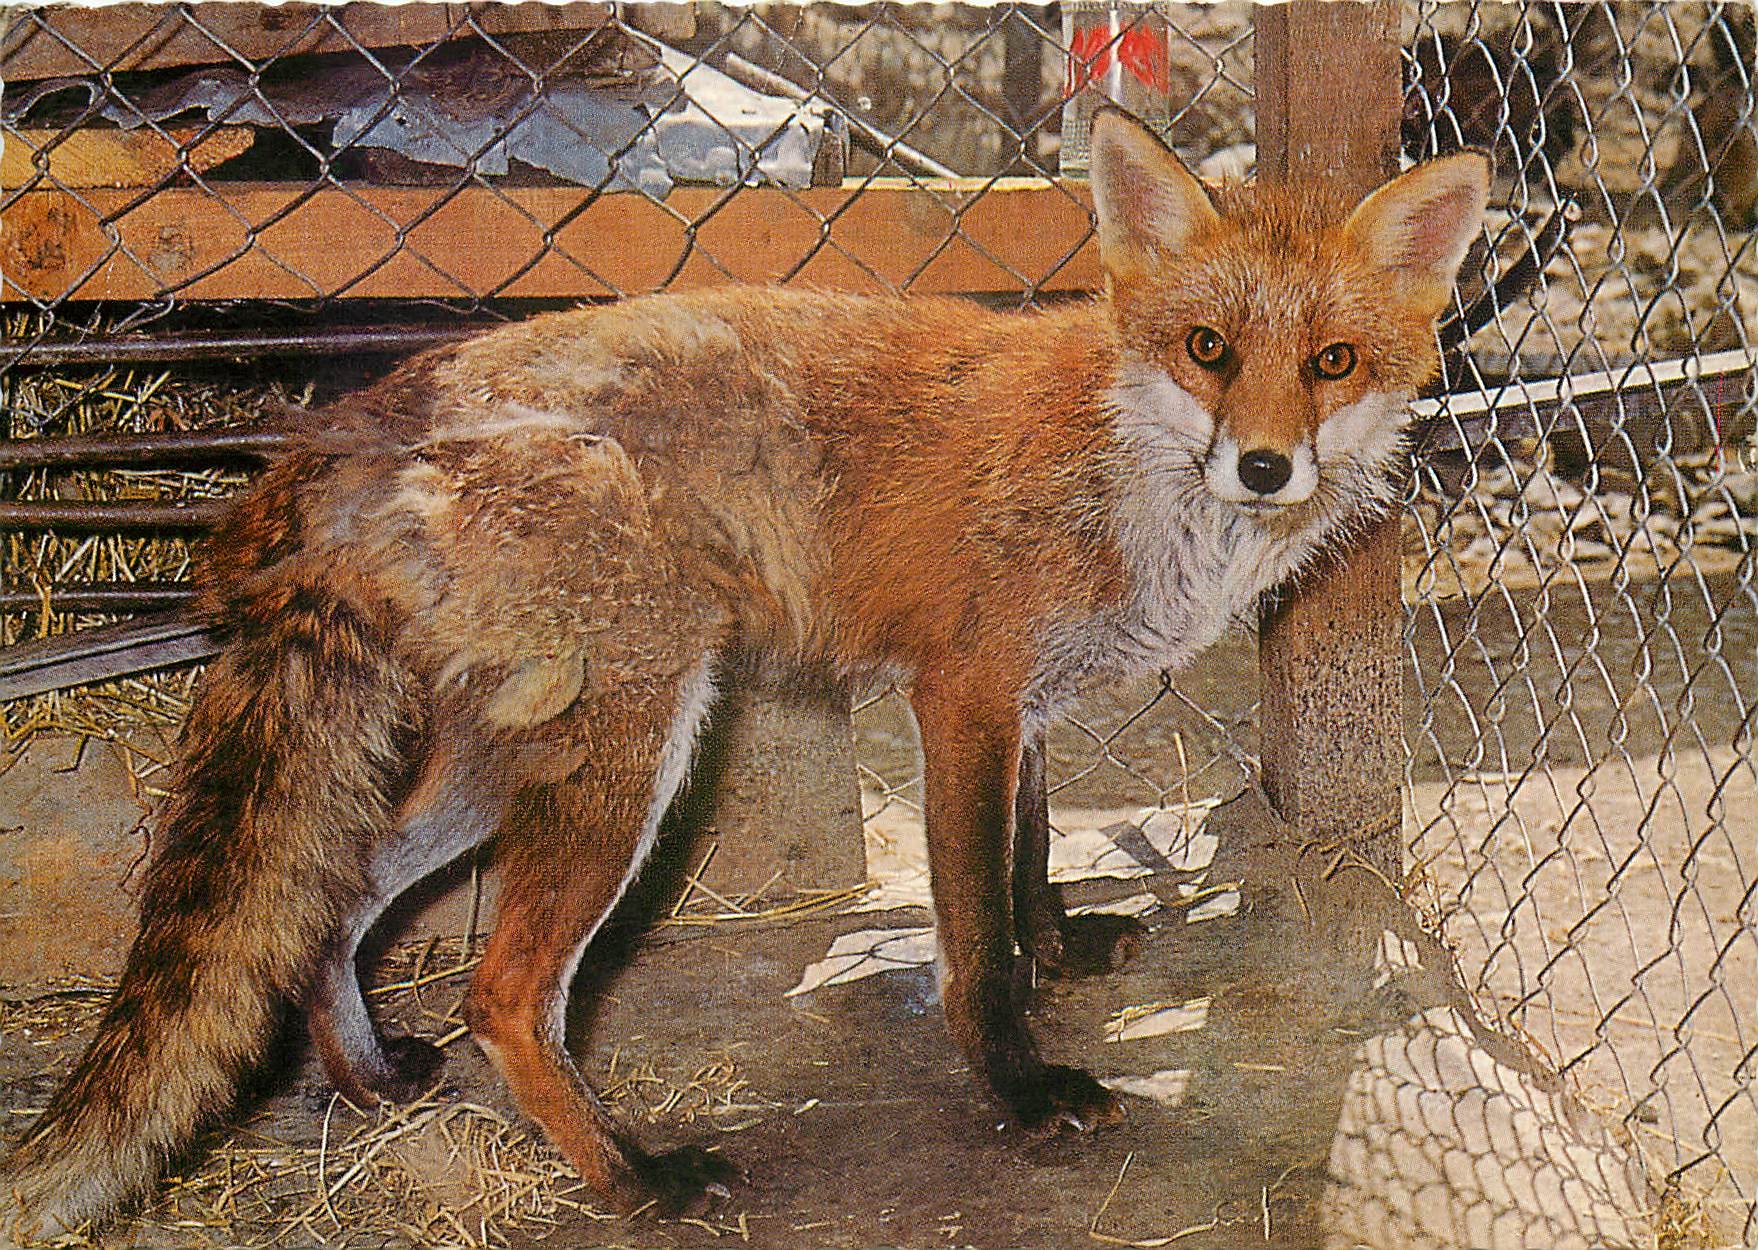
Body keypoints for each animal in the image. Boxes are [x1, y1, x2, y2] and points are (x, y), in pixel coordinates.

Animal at [0, 108, 1487, 1240]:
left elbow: (1025, 864)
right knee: (501, 992)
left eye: (1332, 362)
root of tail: (340, 428)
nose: (1264, 466)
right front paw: (1018, 1087)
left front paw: (1065, 943)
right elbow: (973, 937)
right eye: (1208, 350)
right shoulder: (960, 694)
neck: (1124, 465)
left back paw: (367, 1076)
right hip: (637, 744)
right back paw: (635, 1177)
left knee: (335, 899)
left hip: (511, 753)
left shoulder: (1025, 712)